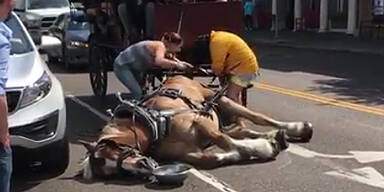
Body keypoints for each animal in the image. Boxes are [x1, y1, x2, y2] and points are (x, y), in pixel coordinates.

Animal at [80, 75, 312, 180]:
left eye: (117, 148)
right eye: (114, 173)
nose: (144, 166)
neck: (154, 124)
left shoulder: (200, 121)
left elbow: (226, 142)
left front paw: (265, 148)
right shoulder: (189, 153)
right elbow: (216, 157)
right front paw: (261, 146)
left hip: (223, 101)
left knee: (259, 118)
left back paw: (297, 128)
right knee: (243, 131)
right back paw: (276, 136)